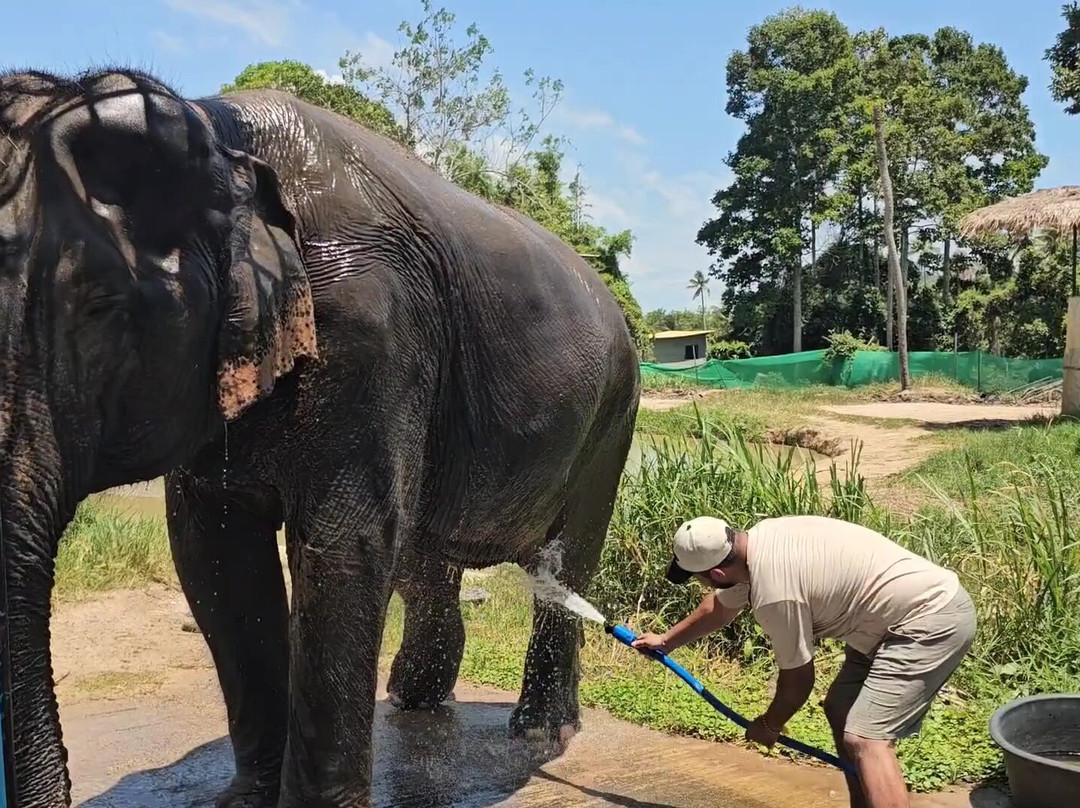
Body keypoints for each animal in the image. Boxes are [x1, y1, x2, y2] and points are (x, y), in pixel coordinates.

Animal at [0, 67, 640, 807]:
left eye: (101, 307)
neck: (218, 128)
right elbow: (215, 557)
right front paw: (245, 799)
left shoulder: (373, 333)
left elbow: (342, 546)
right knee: (425, 553)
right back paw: (413, 703)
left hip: (614, 414)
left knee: (569, 558)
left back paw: (539, 733)